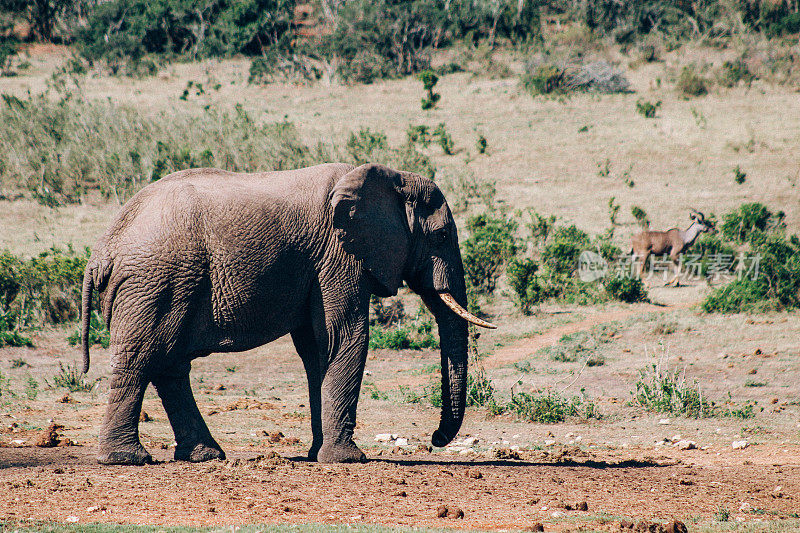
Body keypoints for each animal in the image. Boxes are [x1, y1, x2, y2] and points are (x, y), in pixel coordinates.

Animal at [81, 160, 494, 464]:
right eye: (442, 235)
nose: (436, 438)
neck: (390, 178)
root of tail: (104, 248)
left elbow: (317, 350)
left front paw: (318, 455)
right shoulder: (338, 254)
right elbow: (345, 337)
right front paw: (348, 460)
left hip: (162, 281)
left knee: (169, 364)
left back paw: (204, 456)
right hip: (157, 278)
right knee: (143, 357)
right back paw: (127, 459)